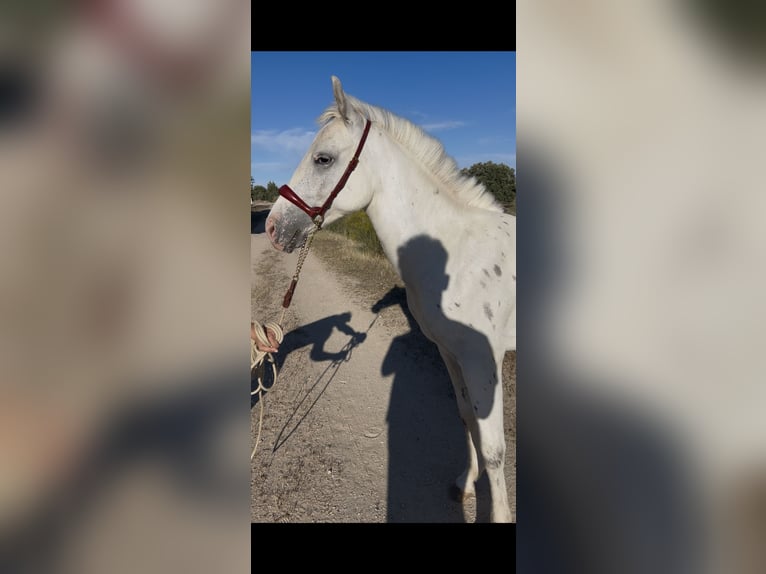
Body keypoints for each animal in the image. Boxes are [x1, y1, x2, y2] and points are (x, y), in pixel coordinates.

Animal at [265, 76, 516, 522]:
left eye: (323, 159)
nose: (273, 227)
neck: (457, 251)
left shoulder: (483, 360)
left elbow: (493, 448)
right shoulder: (450, 353)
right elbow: (466, 418)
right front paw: (465, 483)